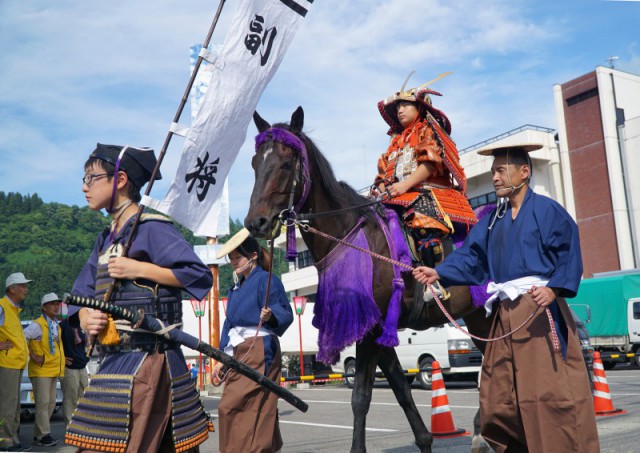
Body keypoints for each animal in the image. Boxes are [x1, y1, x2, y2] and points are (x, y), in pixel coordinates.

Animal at [246, 107, 496, 452]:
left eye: (285, 164)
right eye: (255, 164)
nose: (255, 223)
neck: (347, 234)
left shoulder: (371, 328)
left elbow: (361, 397)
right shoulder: (377, 328)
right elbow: (401, 390)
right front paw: (425, 440)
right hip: (474, 315)